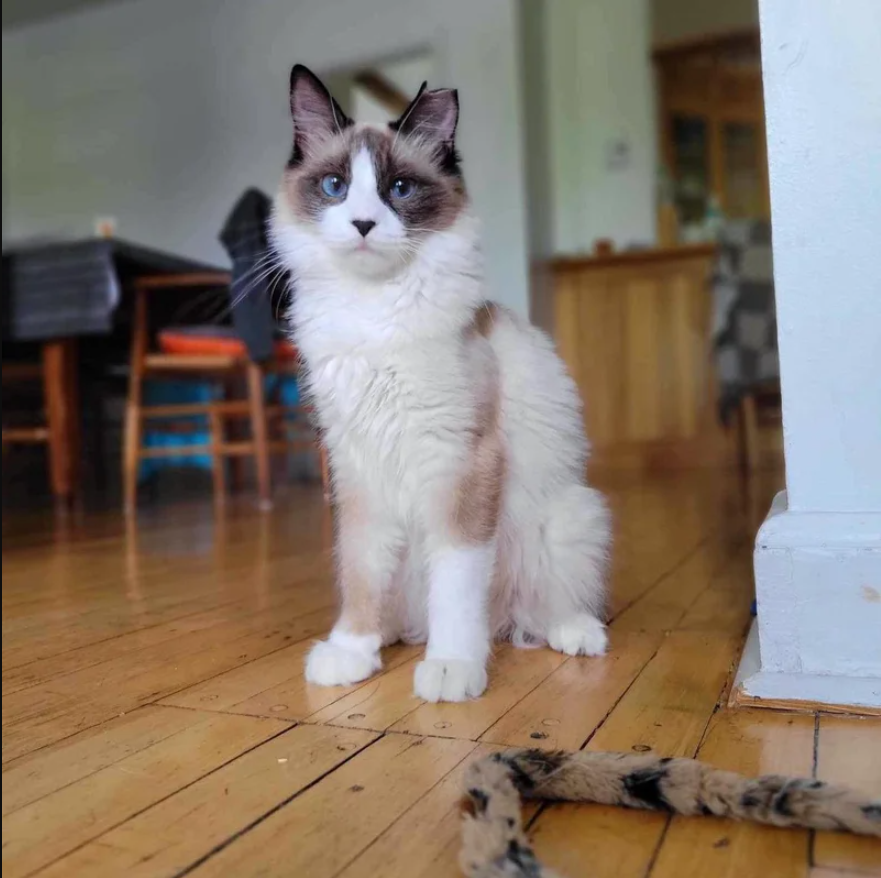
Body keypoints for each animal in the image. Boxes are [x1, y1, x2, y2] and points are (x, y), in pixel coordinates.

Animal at [272, 65, 608, 704]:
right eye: (334, 186)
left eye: (399, 190)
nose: (362, 224)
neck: (373, 314)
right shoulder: (357, 468)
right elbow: (362, 570)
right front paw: (351, 652)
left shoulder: (458, 460)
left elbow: (455, 583)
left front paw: (452, 668)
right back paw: (392, 635)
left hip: (562, 518)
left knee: (544, 604)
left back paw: (572, 634)